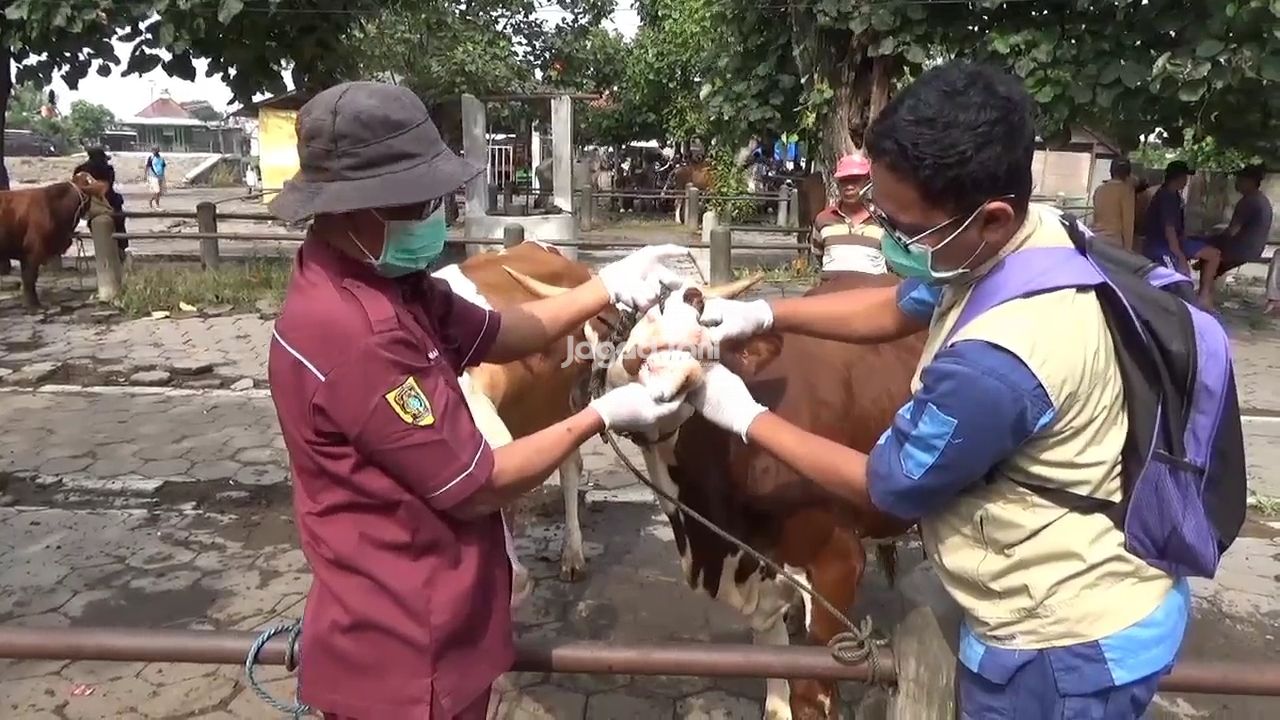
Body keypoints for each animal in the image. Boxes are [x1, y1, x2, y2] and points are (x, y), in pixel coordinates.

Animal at [512, 269, 931, 717]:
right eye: (612, 322)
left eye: (698, 314)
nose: (690, 299)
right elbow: (777, 689)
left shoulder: (837, 561)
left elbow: (810, 696)